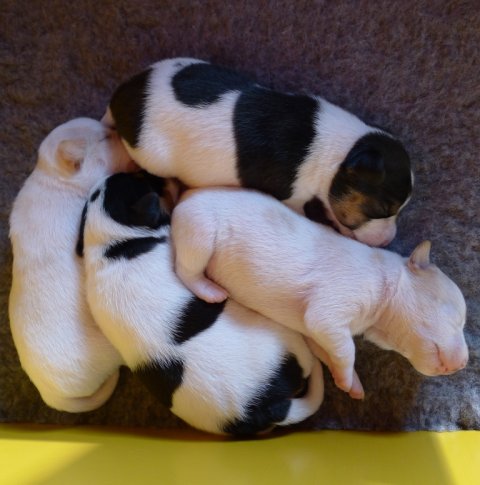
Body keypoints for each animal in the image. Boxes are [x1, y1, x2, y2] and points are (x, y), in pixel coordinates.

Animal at [80, 171, 324, 435]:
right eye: (142, 179)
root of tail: (262, 410)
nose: (154, 175)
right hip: (286, 341)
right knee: (308, 360)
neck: (111, 242)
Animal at [103, 57, 413, 247]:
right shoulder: (294, 198)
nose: (389, 241)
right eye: (382, 210)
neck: (342, 150)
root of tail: (120, 97)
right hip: (153, 155)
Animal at [170, 187, 468, 398]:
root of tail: (186, 194)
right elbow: (347, 348)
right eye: (456, 317)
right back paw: (210, 290)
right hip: (200, 231)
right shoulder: (330, 311)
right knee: (185, 269)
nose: (463, 365)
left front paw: (351, 383)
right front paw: (348, 376)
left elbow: (329, 352)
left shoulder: (316, 332)